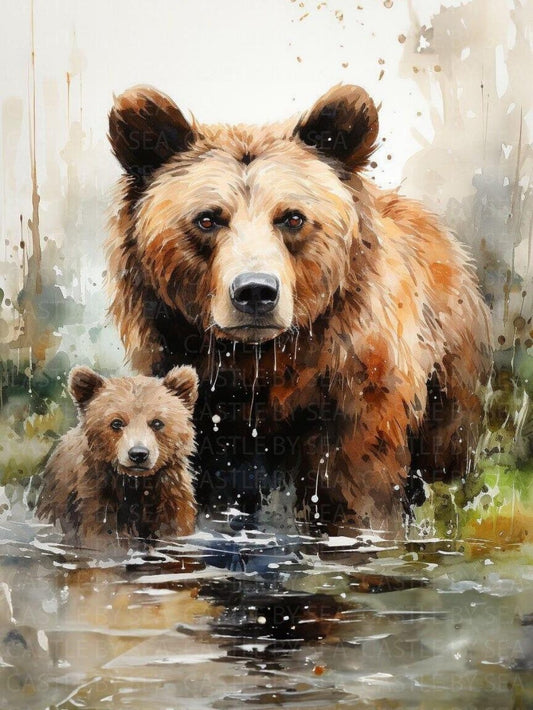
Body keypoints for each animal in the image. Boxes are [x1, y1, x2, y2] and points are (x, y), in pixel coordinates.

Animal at [36, 364, 199, 546]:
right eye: (116, 423)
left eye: (157, 422)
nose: (138, 454)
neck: (135, 484)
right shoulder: (95, 496)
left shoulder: (170, 496)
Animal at [105, 84, 492, 532]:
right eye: (207, 219)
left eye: (292, 218)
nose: (255, 292)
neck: (263, 363)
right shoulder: (198, 393)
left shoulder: (354, 391)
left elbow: (355, 487)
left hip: (450, 374)